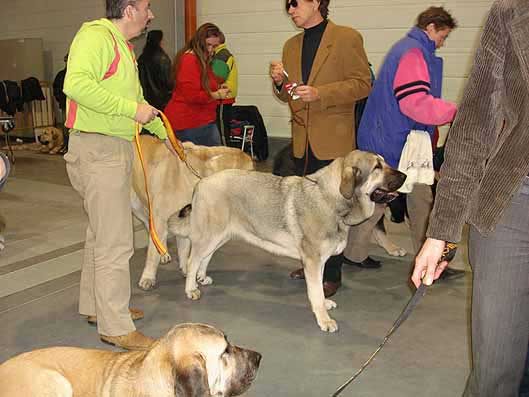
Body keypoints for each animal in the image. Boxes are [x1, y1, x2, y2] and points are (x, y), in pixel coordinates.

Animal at [130, 135, 254, 290]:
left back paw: (164, 252)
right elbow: (152, 254)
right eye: (250, 171)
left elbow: (184, 247)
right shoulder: (161, 219)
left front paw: (187, 269)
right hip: (136, 205)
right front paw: (148, 277)